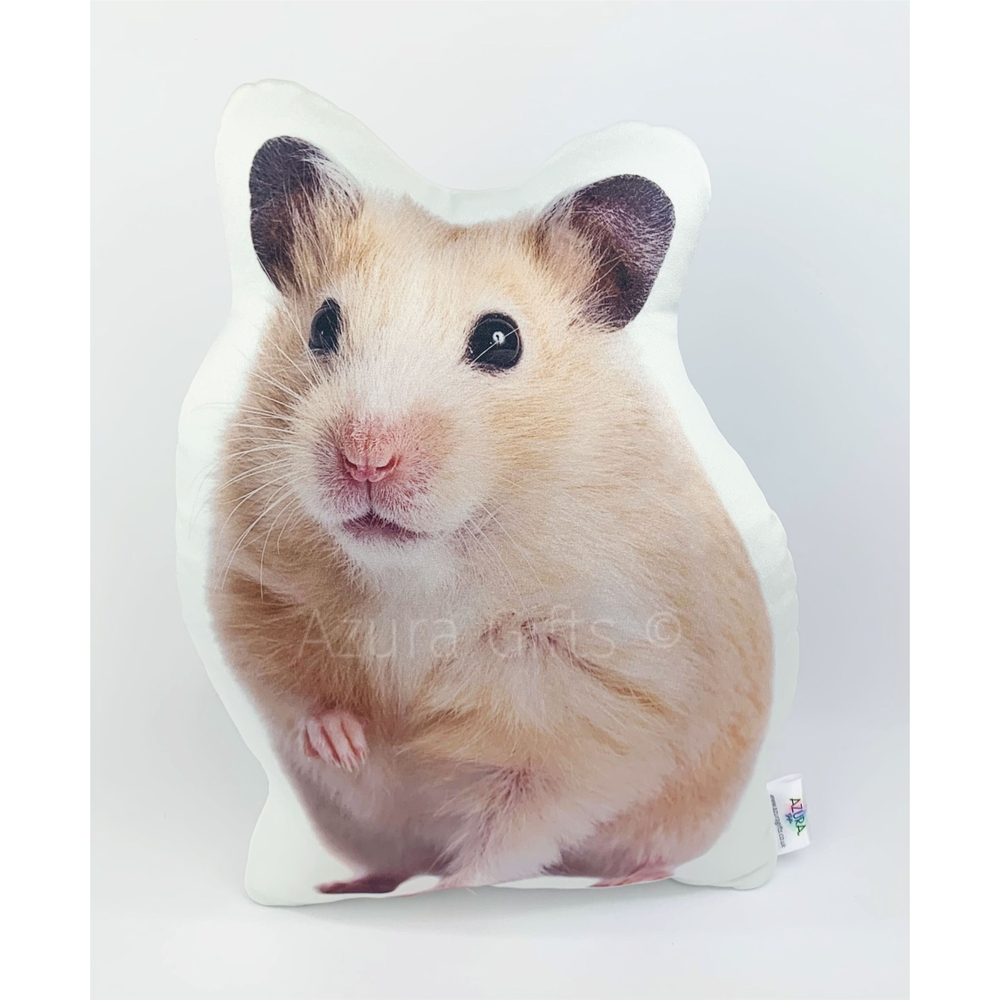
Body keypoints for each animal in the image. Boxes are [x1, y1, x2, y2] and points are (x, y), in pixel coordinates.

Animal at [209, 136, 772, 894]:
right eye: (323, 325)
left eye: (502, 340)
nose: (365, 458)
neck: (417, 574)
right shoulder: (252, 590)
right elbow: (293, 694)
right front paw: (345, 744)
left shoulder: (607, 707)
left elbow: (520, 824)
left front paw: (455, 889)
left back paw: (625, 880)